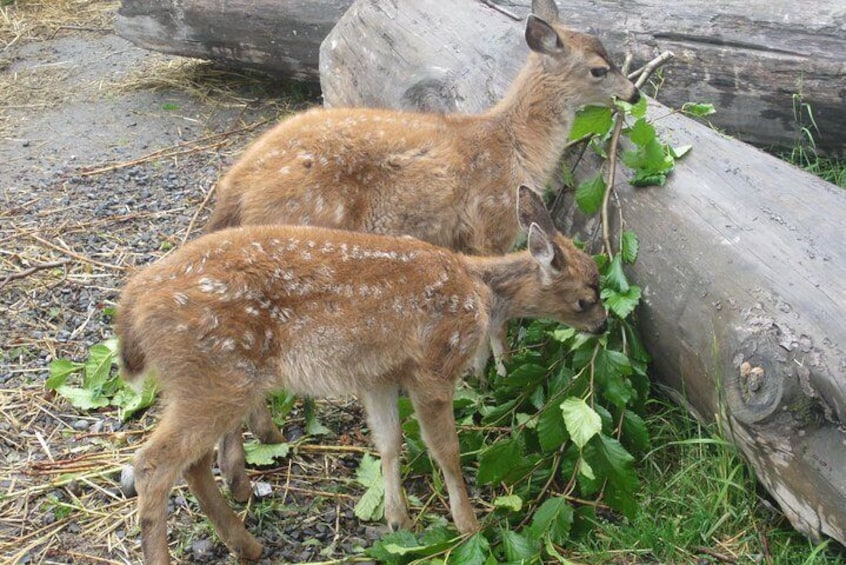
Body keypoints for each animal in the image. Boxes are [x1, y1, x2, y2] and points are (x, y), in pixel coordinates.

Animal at [117, 185, 608, 560]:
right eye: (586, 297)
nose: (604, 325)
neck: (478, 291)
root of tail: (134, 306)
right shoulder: (432, 365)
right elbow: (445, 451)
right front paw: (469, 525)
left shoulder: (379, 376)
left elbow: (389, 443)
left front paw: (397, 520)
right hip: (216, 375)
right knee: (153, 465)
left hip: (203, 382)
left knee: (192, 462)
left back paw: (248, 544)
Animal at [207, 0, 644, 500]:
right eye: (598, 69)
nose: (634, 93)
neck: (512, 145)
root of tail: (234, 187)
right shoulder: (490, 225)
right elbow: (497, 326)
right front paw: (494, 377)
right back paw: (247, 464)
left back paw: (257, 449)